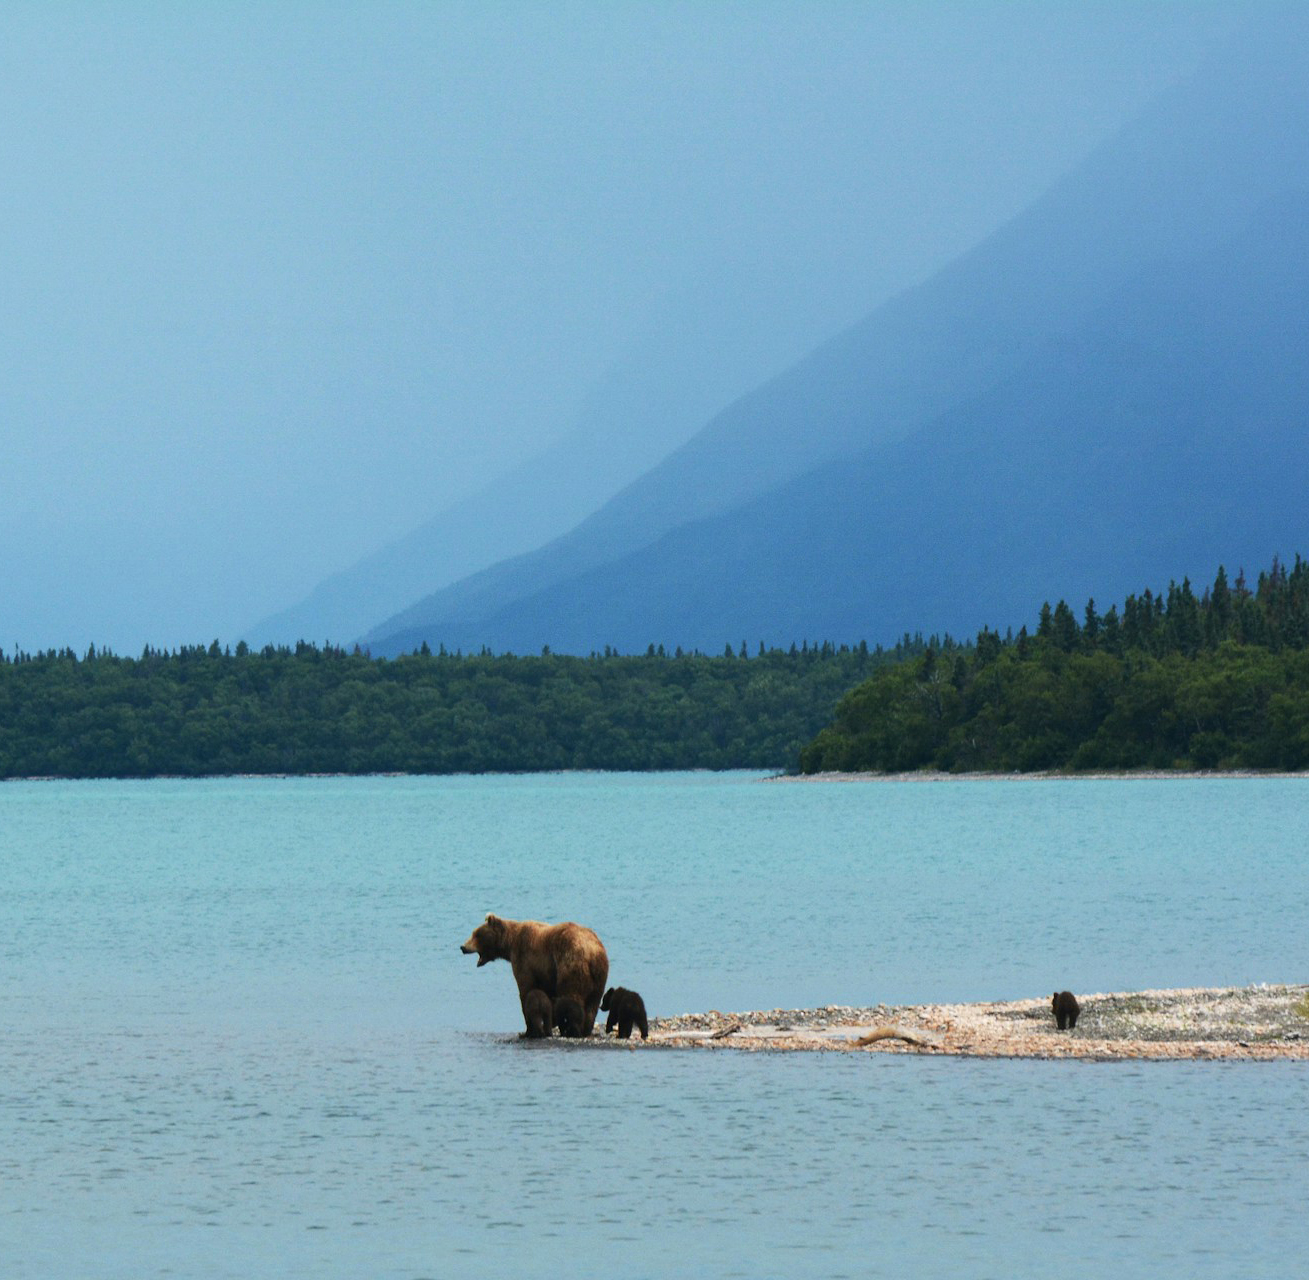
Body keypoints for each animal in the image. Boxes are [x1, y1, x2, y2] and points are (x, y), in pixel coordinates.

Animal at [460, 913, 609, 1037]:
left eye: (476, 934)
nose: (463, 947)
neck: (510, 944)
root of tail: (592, 953)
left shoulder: (524, 959)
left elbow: (526, 990)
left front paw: (529, 1030)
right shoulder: (545, 974)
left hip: (570, 964)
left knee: (572, 997)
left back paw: (572, 1031)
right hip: (599, 976)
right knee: (593, 1005)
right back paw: (585, 1030)